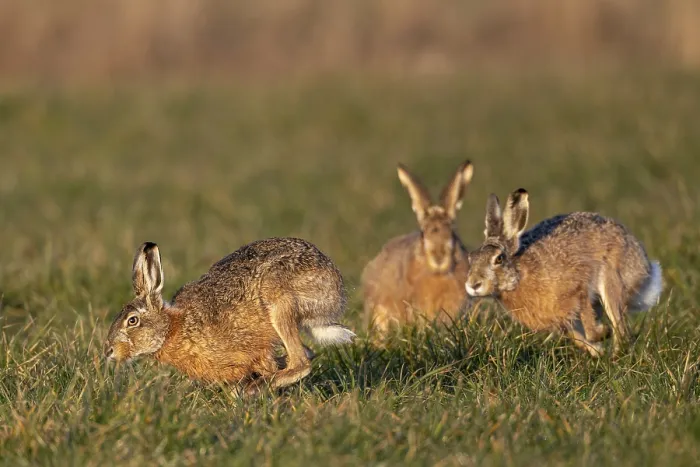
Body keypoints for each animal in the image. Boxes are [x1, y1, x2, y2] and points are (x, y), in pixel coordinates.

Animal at [104, 238, 355, 394]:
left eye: (132, 320)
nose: (109, 351)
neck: (172, 329)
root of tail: (336, 290)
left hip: (279, 302)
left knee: (301, 361)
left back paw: (257, 388)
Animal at [464, 188, 663, 357]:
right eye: (471, 258)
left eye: (499, 259)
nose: (473, 284)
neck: (519, 275)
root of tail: (645, 265)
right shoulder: (562, 319)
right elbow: (579, 338)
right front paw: (598, 350)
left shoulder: (579, 290)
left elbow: (590, 328)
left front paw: (602, 333)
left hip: (611, 281)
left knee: (620, 328)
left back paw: (615, 355)